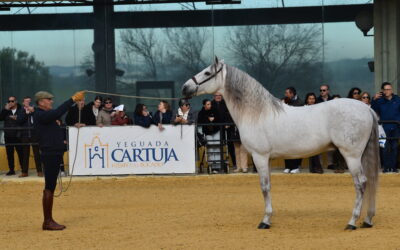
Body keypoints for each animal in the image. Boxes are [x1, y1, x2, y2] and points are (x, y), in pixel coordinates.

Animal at [183, 57, 380, 229]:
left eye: (207, 72)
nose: (185, 88)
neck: (257, 113)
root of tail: (366, 109)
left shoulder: (260, 157)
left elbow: (264, 187)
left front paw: (265, 221)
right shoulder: (268, 158)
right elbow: (268, 185)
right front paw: (269, 217)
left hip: (351, 155)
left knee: (361, 183)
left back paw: (352, 222)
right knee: (369, 182)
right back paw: (368, 219)